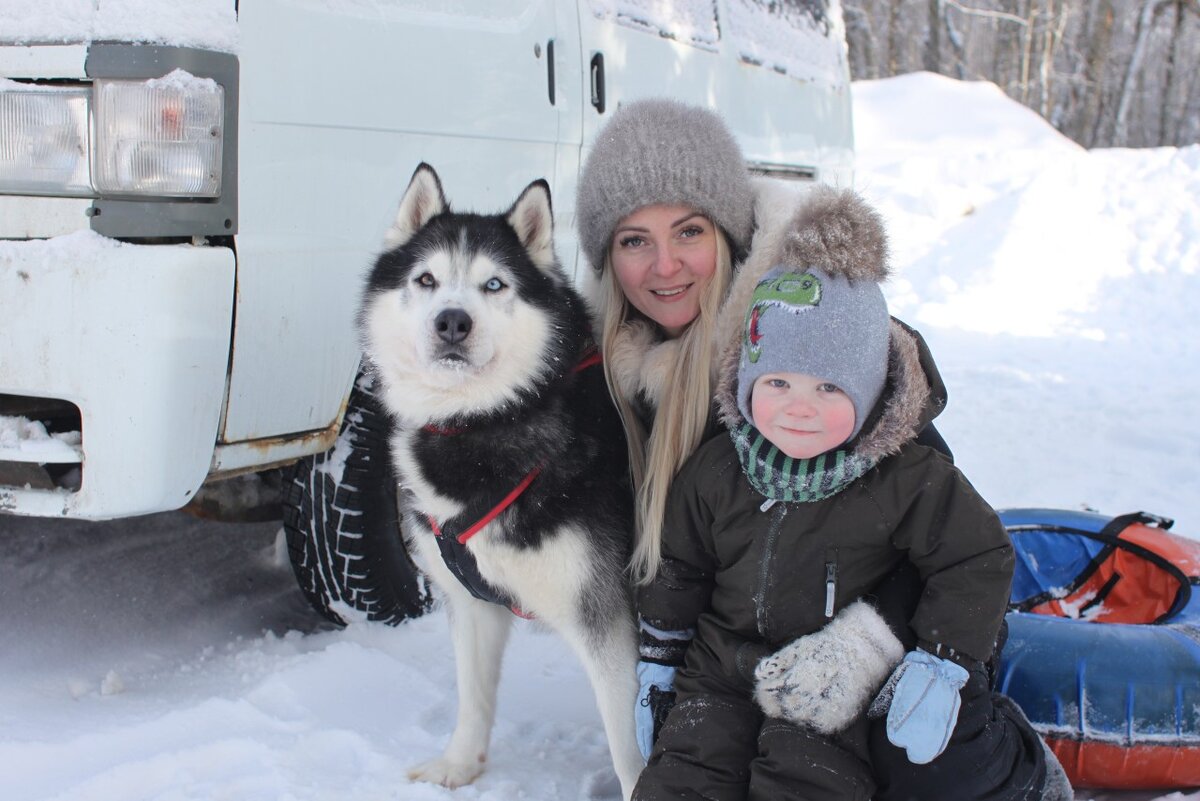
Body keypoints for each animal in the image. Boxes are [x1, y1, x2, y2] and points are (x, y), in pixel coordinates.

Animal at [360, 163, 648, 796]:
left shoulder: (608, 623)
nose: (452, 321)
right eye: (425, 279)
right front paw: (459, 765)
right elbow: (473, 695)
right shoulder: (471, 603)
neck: (487, 423)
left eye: (494, 285)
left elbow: (630, 750)